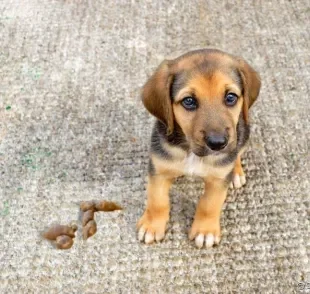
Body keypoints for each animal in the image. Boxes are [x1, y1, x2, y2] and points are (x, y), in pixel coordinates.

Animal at [137, 48, 260, 248]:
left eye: (230, 97)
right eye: (189, 101)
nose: (218, 143)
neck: (191, 152)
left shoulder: (218, 180)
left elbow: (209, 205)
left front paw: (205, 231)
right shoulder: (158, 170)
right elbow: (157, 201)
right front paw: (152, 226)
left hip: (244, 133)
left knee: (237, 153)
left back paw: (236, 173)